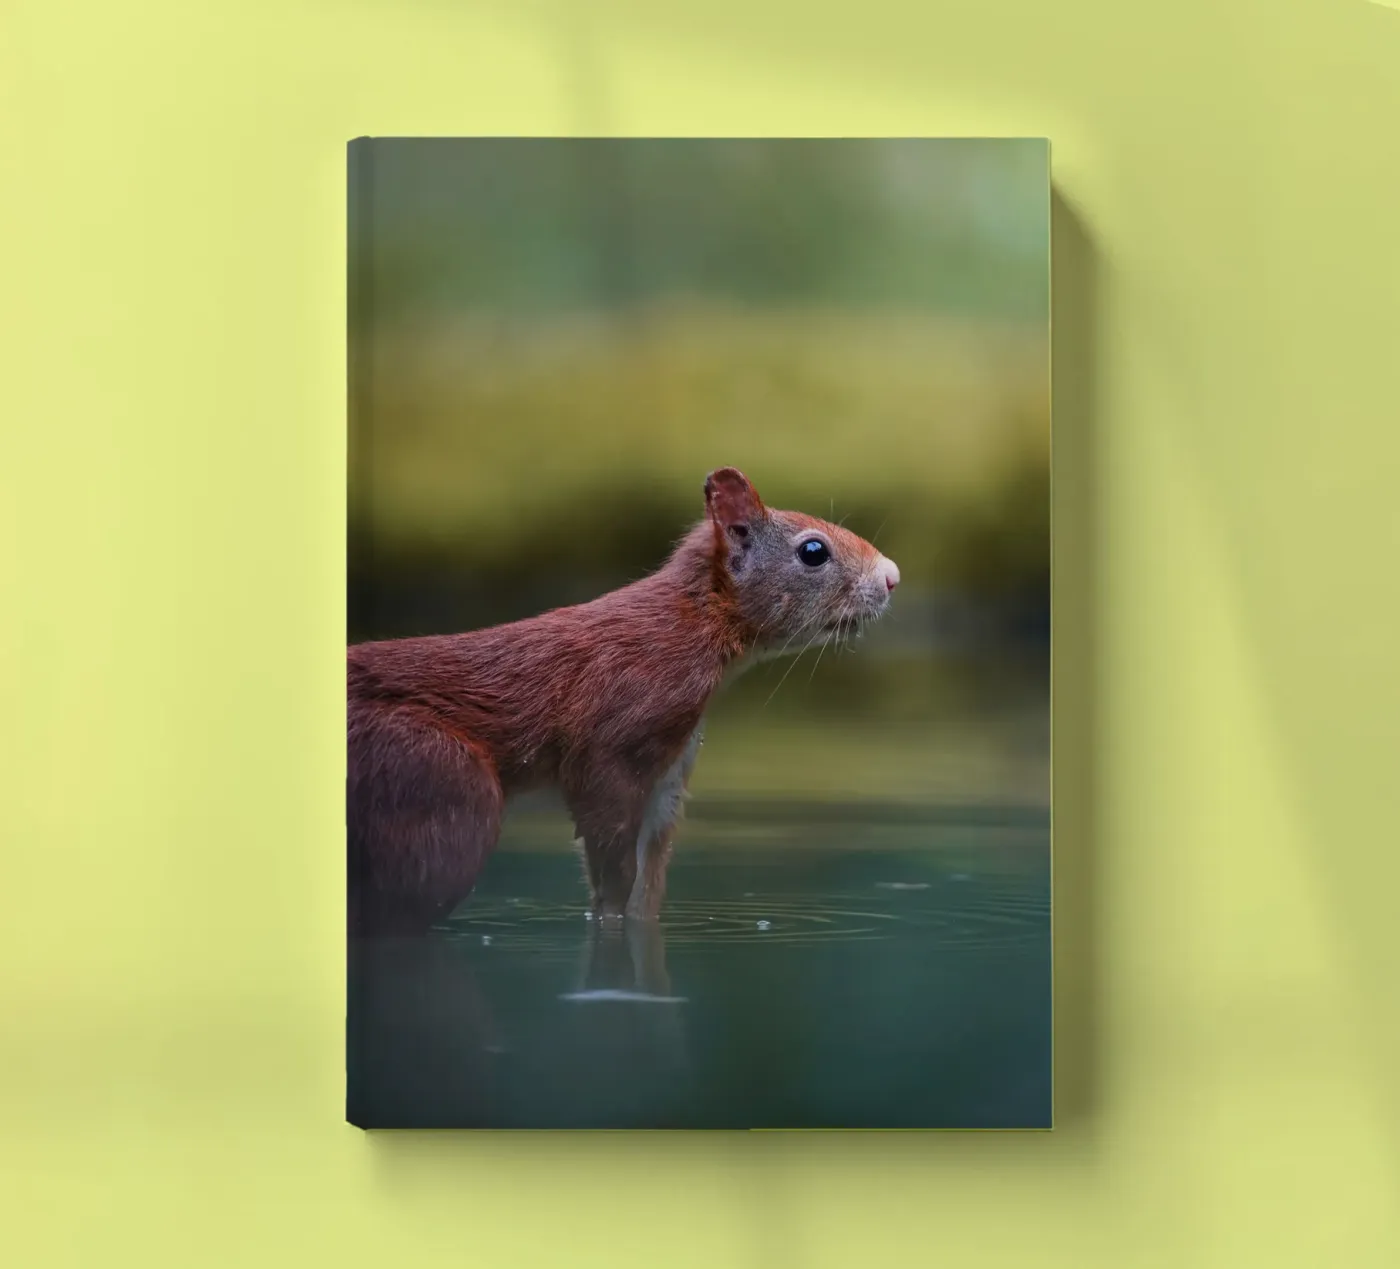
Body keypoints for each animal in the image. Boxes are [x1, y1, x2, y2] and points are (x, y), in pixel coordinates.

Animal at [347, 467, 900, 937]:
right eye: (813, 551)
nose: (892, 576)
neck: (692, 625)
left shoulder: (670, 770)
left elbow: (647, 882)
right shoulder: (615, 735)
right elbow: (612, 863)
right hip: (436, 782)